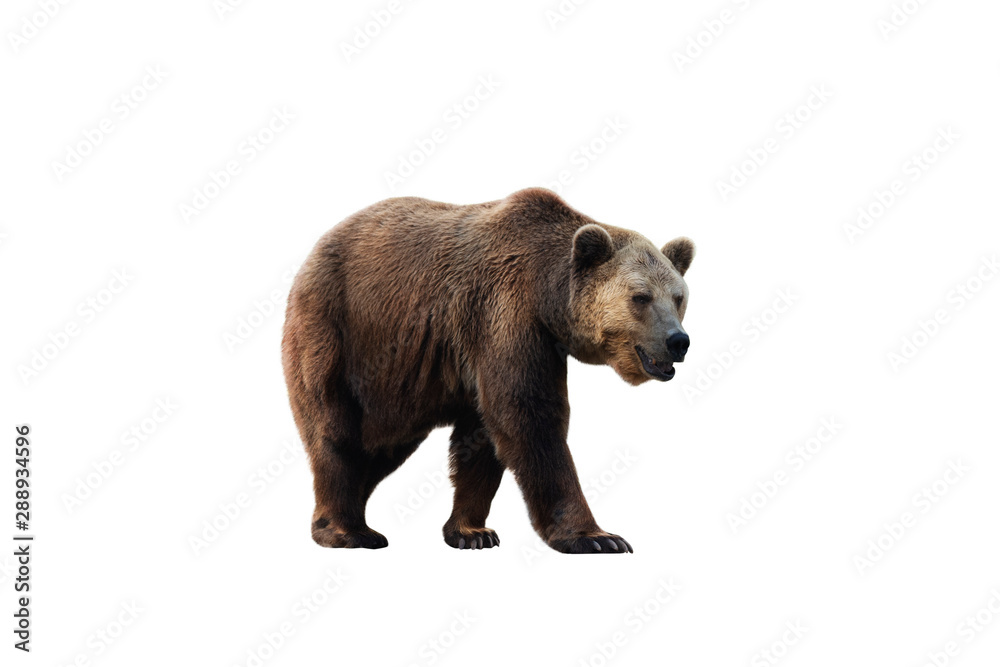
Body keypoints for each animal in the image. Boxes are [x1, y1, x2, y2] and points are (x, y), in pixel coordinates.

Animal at [281, 188, 694, 553]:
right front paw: (597, 537)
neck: (549, 297)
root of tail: (312, 254)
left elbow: (483, 437)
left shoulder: (488, 347)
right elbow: (530, 417)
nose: (678, 340)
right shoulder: (506, 313)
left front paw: (471, 532)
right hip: (338, 333)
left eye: (679, 297)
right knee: (336, 432)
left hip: (399, 385)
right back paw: (346, 531)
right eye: (640, 297)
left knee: (380, 447)